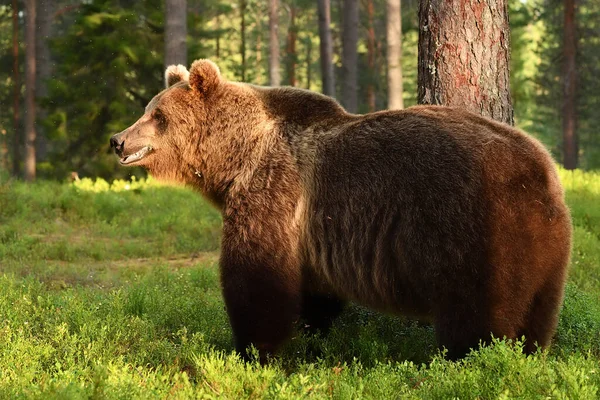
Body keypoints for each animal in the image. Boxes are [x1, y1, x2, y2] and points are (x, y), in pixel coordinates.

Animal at [111, 60, 572, 362]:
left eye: (157, 114)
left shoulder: (272, 191)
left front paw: (251, 350)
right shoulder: (310, 234)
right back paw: (530, 355)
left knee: (476, 321)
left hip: (475, 235)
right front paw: (311, 335)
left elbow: (257, 280)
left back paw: (470, 360)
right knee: (537, 318)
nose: (118, 139)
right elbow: (314, 293)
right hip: (545, 252)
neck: (234, 160)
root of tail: (538, 172)